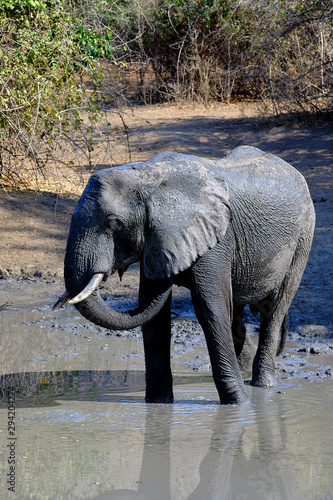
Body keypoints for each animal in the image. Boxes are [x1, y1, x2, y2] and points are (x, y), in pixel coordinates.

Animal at [53, 146, 316, 404]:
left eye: (113, 223)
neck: (147, 177)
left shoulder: (216, 240)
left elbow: (210, 309)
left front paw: (239, 406)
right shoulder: (158, 242)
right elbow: (155, 314)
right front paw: (158, 405)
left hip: (303, 238)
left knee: (274, 309)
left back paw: (263, 387)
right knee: (236, 310)